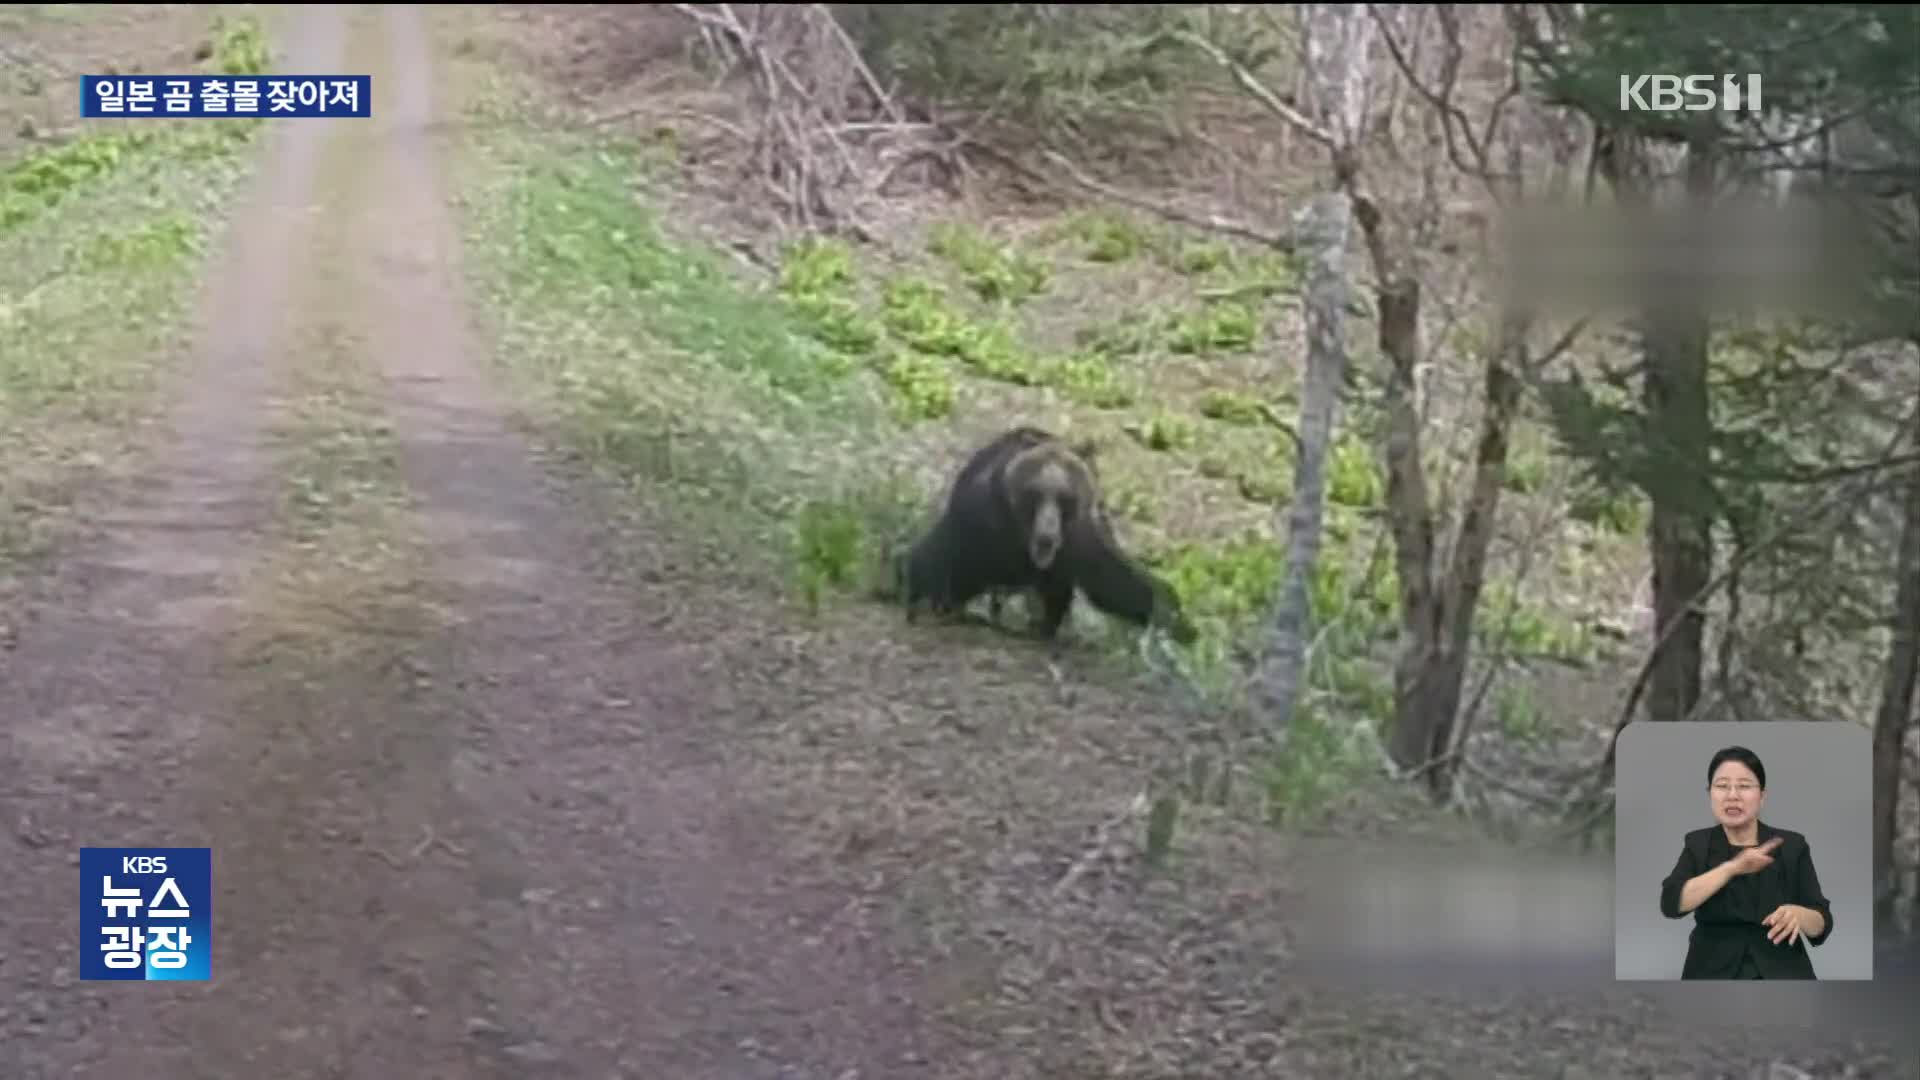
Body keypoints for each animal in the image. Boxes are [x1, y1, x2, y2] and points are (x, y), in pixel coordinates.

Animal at [890, 420, 1190, 641]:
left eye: (1065, 497)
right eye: (1034, 493)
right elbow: (944, 563)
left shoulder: (1080, 537)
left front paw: (1172, 618)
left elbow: (1113, 580)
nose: (1047, 535)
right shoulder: (980, 522)